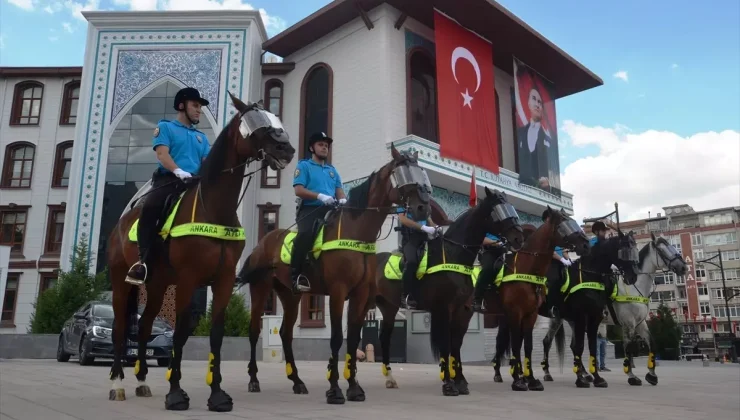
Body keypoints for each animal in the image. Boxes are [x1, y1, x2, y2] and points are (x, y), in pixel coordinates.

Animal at [105, 93, 294, 412]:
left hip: (157, 285)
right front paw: (175, 393)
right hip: (122, 281)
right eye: (256, 123)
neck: (214, 209)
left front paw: (217, 394)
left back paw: (142, 381)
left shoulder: (224, 280)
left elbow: (216, 334)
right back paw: (117, 383)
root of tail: (119, 224)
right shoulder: (188, 280)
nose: (287, 149)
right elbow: (180, 331)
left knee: (143, 326)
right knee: (120, 327)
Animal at [237, 144, 430, 404]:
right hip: (260, 290)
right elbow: (337, 337)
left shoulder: (360, 294)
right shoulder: (338, 292)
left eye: (421, 174)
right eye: (404, 176)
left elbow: (353, 339)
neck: (356, 232)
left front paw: (354, 388)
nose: (423, 207)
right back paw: (254, 380)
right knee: (254, 331)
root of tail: (262, 243)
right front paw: (335, 389)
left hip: (291, 295)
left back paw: (297, 381)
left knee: (286, 334)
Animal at [372, 189, 524, 396]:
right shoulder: (443, 309)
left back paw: (390, 379)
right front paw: (448, 384)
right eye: (499, 211)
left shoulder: (462, 310)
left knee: (385, 338)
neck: (454, 256)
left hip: (389, 307)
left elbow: (456, 343)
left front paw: (460, 381)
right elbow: (445, 342)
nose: (519, 238)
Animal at [486, 207, 588, 390]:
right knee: (502, 341)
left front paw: (530, 378)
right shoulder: (517, 312)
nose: (586, 244)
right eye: (565, 224)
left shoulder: (534, 315)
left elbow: (528, 344)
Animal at [536, 235, 688, 386]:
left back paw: (584, 374)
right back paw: (548, 373)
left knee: (573, 345)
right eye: (662, 250)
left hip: (573, 320)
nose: (683, 267)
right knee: (547, 341)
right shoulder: (628, 323)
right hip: (558, 319)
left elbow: (652, 344)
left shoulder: (640, 323)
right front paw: (631, 375)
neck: (635, 286)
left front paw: (651, 375)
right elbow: (628, 348)